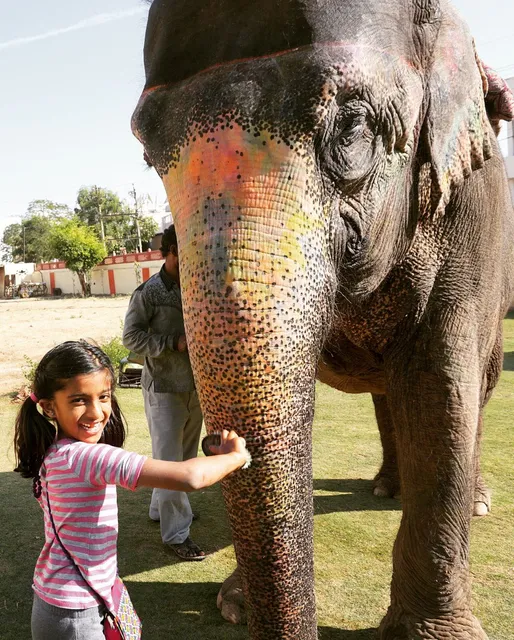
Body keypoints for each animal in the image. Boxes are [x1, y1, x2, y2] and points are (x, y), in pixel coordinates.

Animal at [132, 1, 514, 639]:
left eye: (353, 125)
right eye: (146, 152)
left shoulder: (472, 212)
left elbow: (438, 386)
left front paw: (435, 634)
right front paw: (236, 606)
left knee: (472, 390)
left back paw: (473, 498)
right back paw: (386, 487)